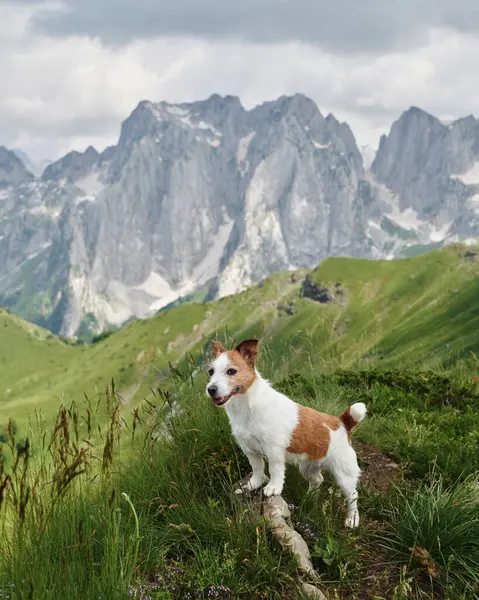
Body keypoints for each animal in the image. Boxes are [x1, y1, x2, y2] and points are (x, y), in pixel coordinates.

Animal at [206, 340, 368, 528]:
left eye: (231, 371)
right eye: (211, 371)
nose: (211, 389)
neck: (247, 405)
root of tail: (342, 423)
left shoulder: (274, 450)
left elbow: (274, 470)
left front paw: (273, 487)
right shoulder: (250, 450)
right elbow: (257, 469)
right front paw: (254, 484)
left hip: (344, 474)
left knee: (352, 495)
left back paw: (352, 518)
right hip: (308, 467)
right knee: (317, 480)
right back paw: (308, 498)